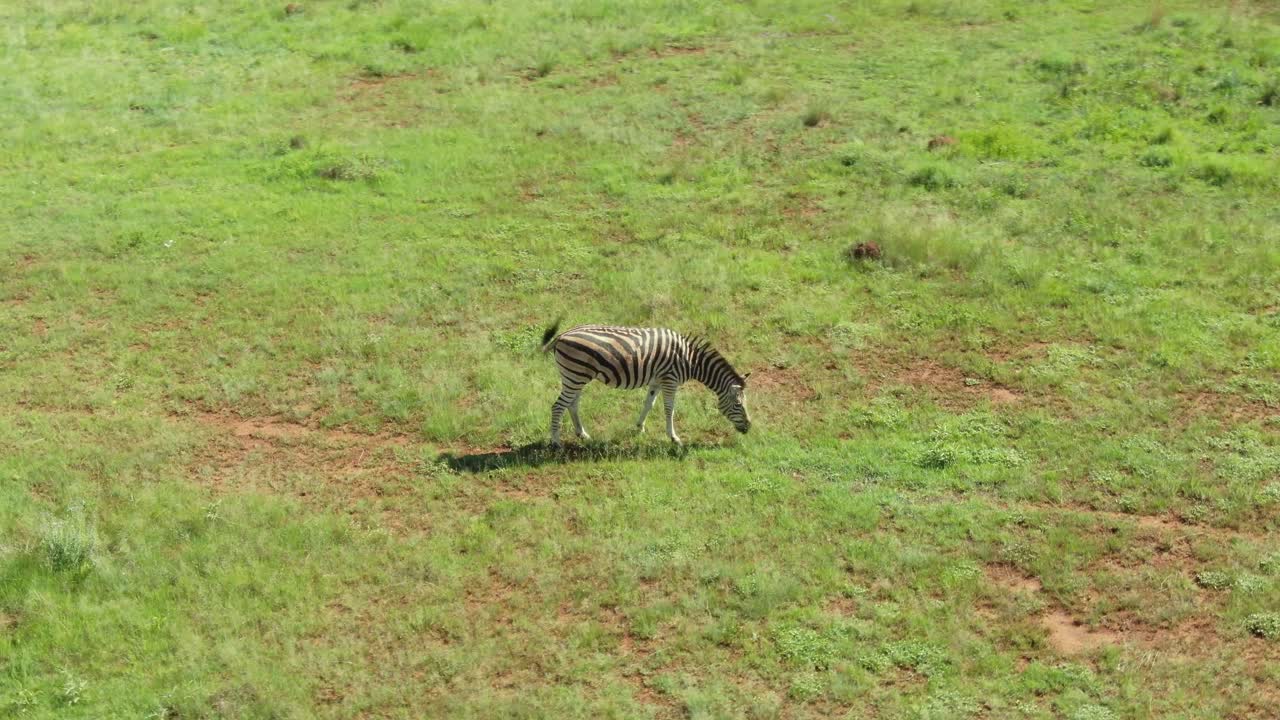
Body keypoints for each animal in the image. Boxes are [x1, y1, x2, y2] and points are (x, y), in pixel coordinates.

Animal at [540, 320, 751, 446]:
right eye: (738, 405)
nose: (748, 428)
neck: (690, 360)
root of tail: (562, 335)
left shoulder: (657, 381)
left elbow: (649, 404)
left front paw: (639, 427)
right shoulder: (670, 380)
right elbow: (669, 409)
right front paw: (674, 438)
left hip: (576, 377)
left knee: (572, 404)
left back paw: (582, 434)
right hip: (574, 376)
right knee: (558, 406)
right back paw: (556, 443)